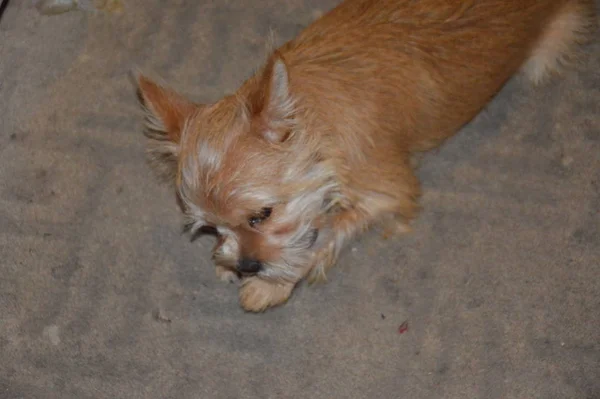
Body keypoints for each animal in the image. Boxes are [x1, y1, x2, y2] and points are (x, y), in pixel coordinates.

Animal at [135, 0, 596, 312]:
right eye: (210, 227)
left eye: (261, 215)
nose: (247, 265)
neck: (315, 111)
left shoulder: (389, 193)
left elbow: (325, 231)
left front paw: (273, 283)